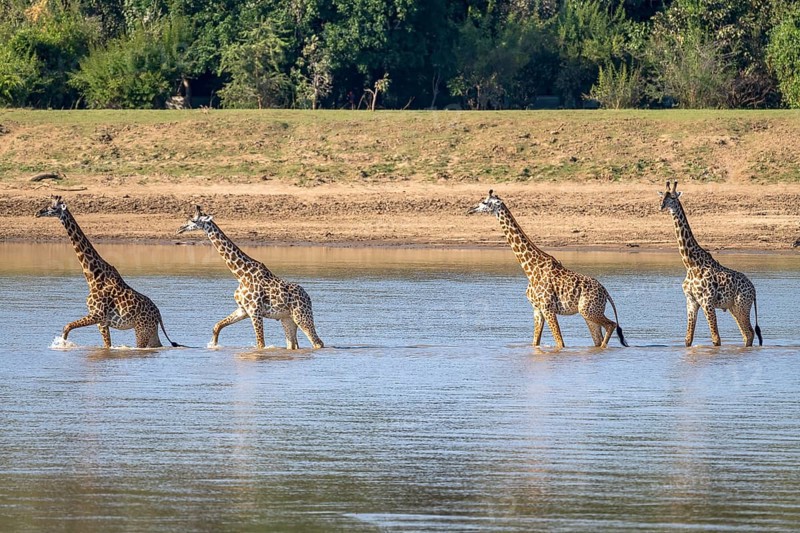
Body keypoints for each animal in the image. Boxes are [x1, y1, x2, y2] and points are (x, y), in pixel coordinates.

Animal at [35, 196, 180, 348]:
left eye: (53, 207)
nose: (38, 212)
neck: (93, 277)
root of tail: (158, 314)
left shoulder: (97, 315)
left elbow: (67, 326)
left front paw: (62, 344)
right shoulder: (101, 322)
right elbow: (106, 345)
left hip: (142, 330)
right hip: (150, 331)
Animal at [177, 205, 324, 350]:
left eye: (193, 220)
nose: (179, 228)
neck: (241, 275)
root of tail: (308, 297)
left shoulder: (255, 312)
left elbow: (261, 344)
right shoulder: (243, 309)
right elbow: (217, 326)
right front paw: (213, 345)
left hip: (302, 316)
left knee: (317, 343)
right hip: (287, 318)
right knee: (292, 345)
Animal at [468, 190, 628, 348]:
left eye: (484, 202)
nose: (470, 209)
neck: (530, 269)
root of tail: (606, 293)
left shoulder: (547, 307)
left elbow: (560, 343)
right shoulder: (537, 309)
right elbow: (535, 343)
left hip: (588, 310)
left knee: (611, 325)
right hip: (589, 313)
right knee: (598, 339)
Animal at [659, 181, 763, 347]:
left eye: (673, 197)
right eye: (662, 196)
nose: (661, 206)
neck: (691, 264)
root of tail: (753, 290)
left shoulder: (707, 301)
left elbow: (716, 339)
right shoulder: (691, 301)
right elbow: (688, 339)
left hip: (742, 306)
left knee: (749, 333)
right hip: (734, 307)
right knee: (747, 334)